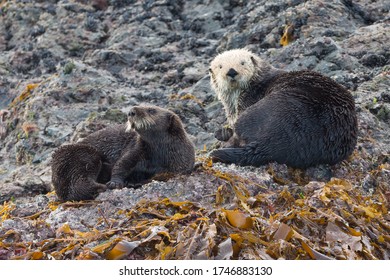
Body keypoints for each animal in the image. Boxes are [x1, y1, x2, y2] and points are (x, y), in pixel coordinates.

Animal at [52, 104, 195, 200]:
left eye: (151, 110)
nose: (131, 111)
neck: (159, 154)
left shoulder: (182, 163)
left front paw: (132, 181)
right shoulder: (136, 148)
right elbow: (121, 164)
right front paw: (115, 183)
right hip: (82, 155)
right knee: (80, 184)